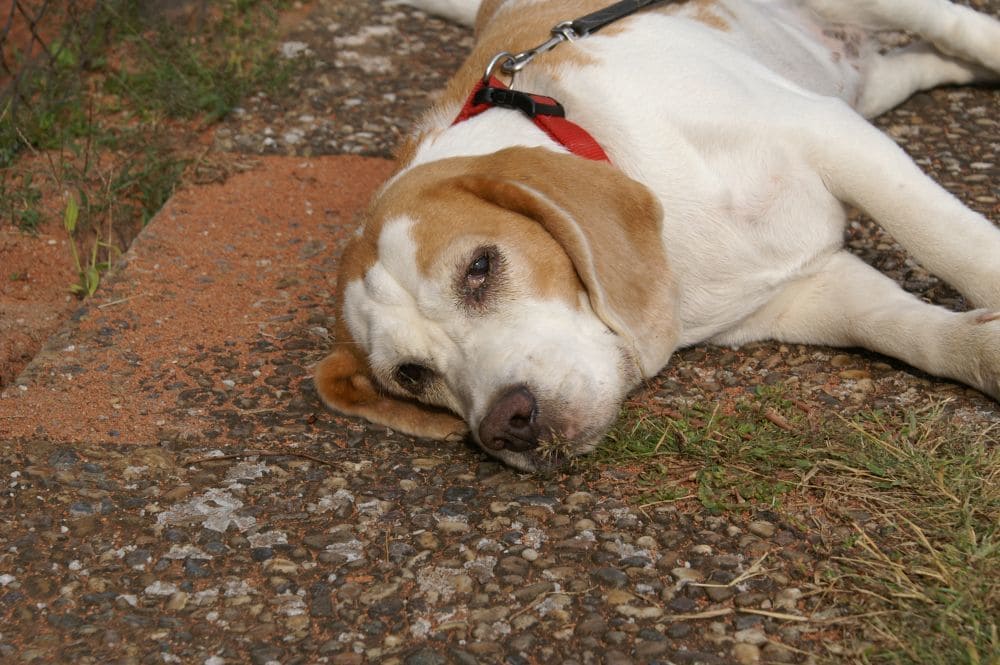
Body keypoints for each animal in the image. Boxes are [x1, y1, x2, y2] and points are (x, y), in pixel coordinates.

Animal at [316, 0, 1000, 470]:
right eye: (410, 375)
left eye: (480, 268)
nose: (506, 423)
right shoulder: (799, 294)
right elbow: (904, 327)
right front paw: (979, 351)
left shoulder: (829, 132)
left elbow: (952, 242)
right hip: (870, 84)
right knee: (926, 61)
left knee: (954, 25)